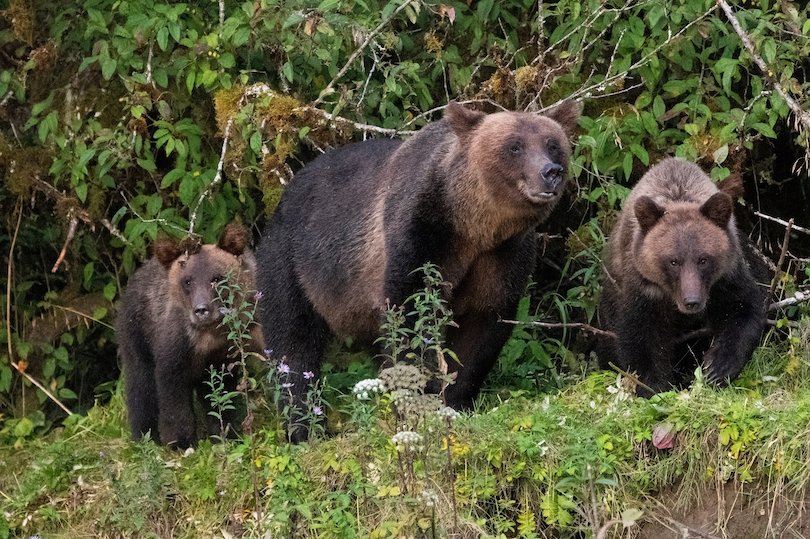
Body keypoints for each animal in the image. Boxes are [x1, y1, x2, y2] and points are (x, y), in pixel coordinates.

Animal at [117, 221, 260, 450]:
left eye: (216, 278)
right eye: (188, 281)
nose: (201, 310)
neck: (209, 336)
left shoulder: (223, 354)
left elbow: (220, 393)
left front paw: (225, 433)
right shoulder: (174, 346)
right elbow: (171, 392)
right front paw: (180, 441)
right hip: (136, 334)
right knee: (140, 383)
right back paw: (144, 435)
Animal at [256, 101, 576, 438]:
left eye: (553, 144)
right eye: (514, 146)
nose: (550, 172)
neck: (474, 227)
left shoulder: (502, 255)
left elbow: (483, 324)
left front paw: (455, 399)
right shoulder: (422, 231)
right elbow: (413, 311)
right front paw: (423, 397)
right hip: (293, 261)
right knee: (293, 339)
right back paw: (306, 427)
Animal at [600, 157, 764, 396]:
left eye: (703, 259)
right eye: (673, 261)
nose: (691, 301)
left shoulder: (725, 278)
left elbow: (742, 310)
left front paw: (717, 368)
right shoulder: (642, 287)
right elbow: (641, 334)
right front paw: (653, 385)